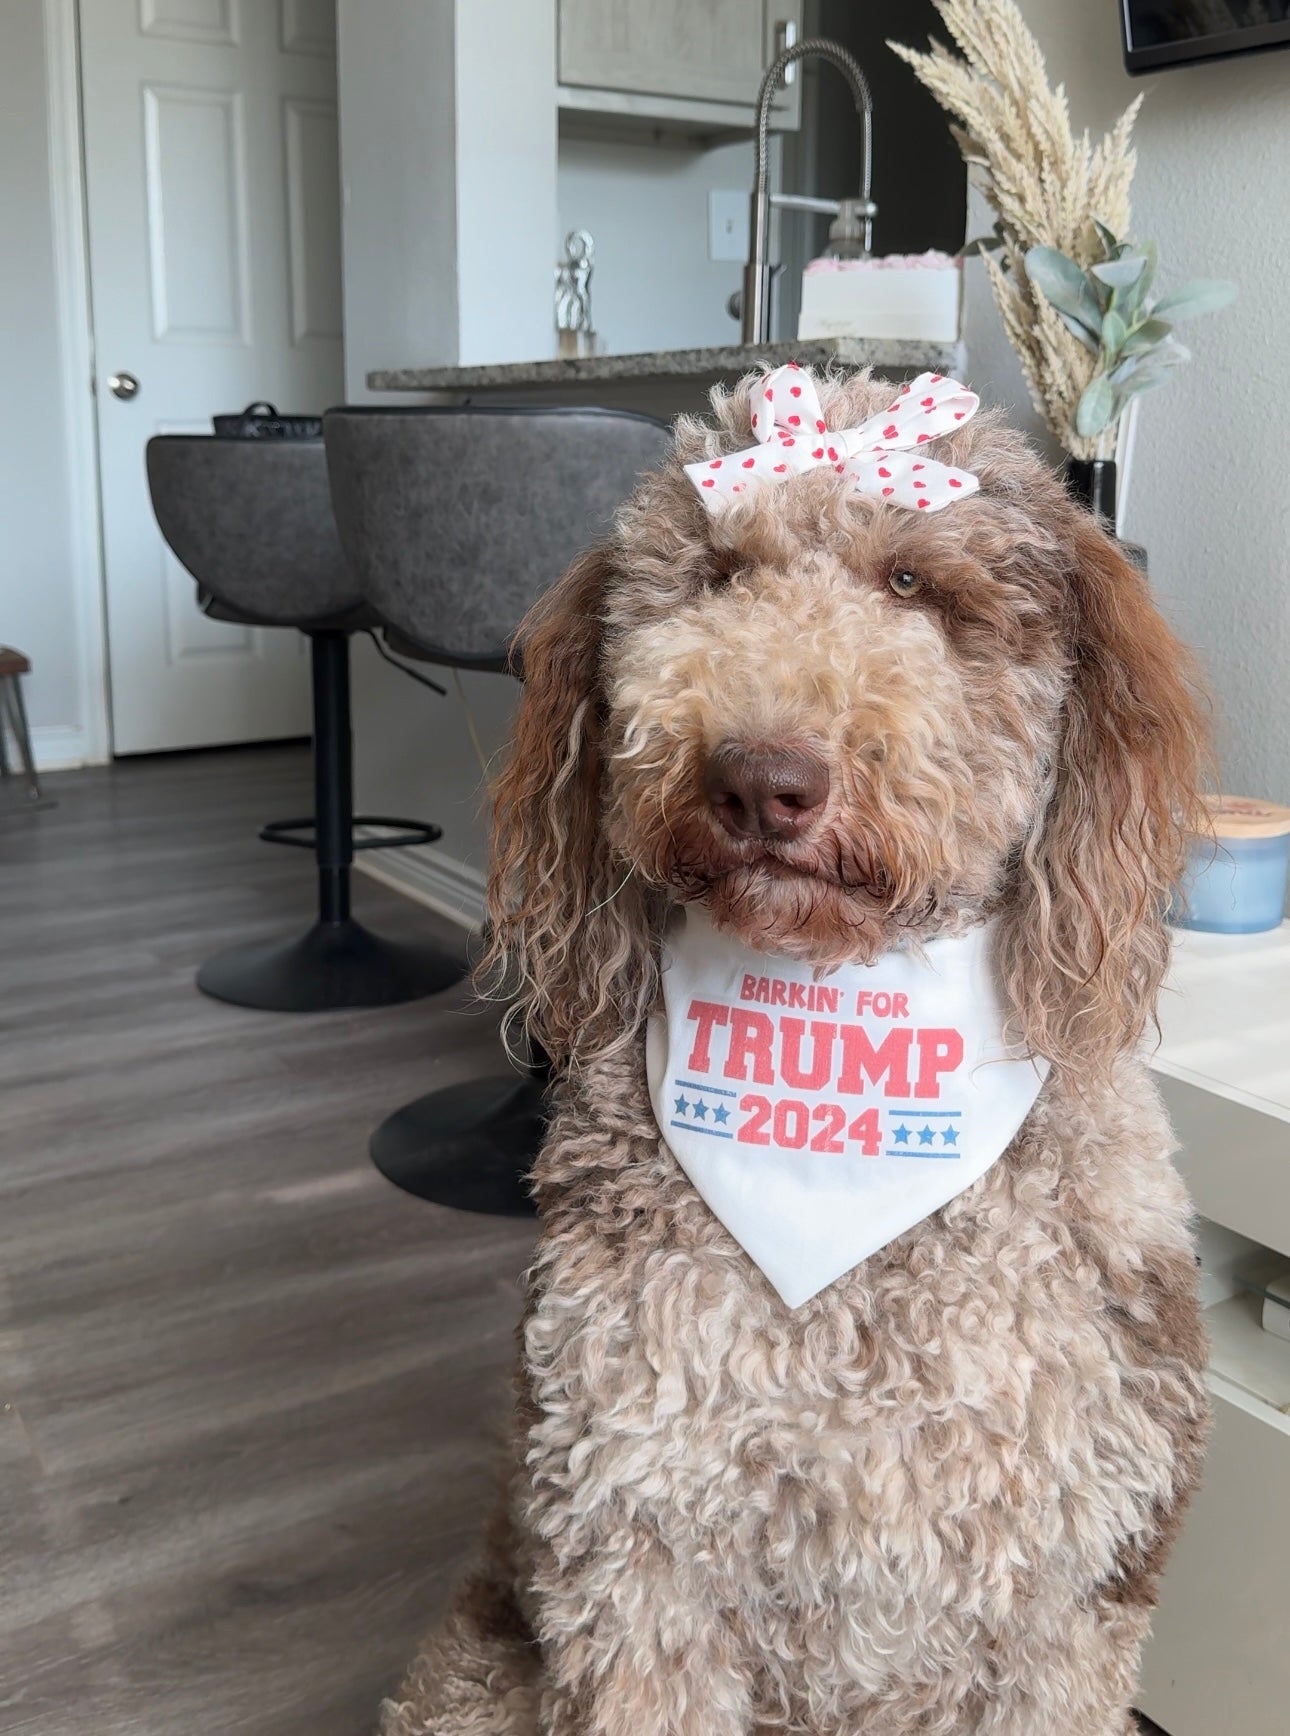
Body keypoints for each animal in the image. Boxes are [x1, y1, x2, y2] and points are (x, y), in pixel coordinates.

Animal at [383, 369, 1208, 1736]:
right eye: (717, 574)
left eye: (914, 582)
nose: (760, 779)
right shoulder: (631, 1551)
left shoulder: (1070, 1593)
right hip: (477, 1677)